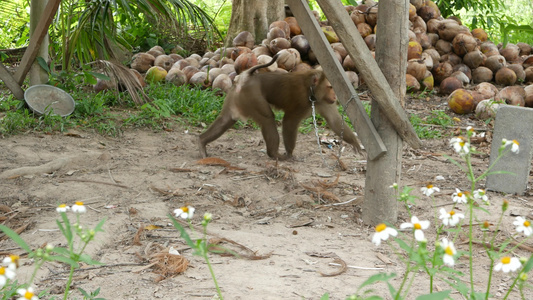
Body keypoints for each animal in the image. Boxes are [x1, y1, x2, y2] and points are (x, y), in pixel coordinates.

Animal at [197, 53, 364, 159]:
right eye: (330, 87)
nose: (335, 96)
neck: (312, 90)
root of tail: (246, 77)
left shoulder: (324, 101)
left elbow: (334, 122)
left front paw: (355, 142)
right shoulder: (301, 99)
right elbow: (289, 121)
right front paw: (289, 154)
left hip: (237, 97)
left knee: (226, 119)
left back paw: (202, 141)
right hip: (252, 95)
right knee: (267, 119)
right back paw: (274, 154)